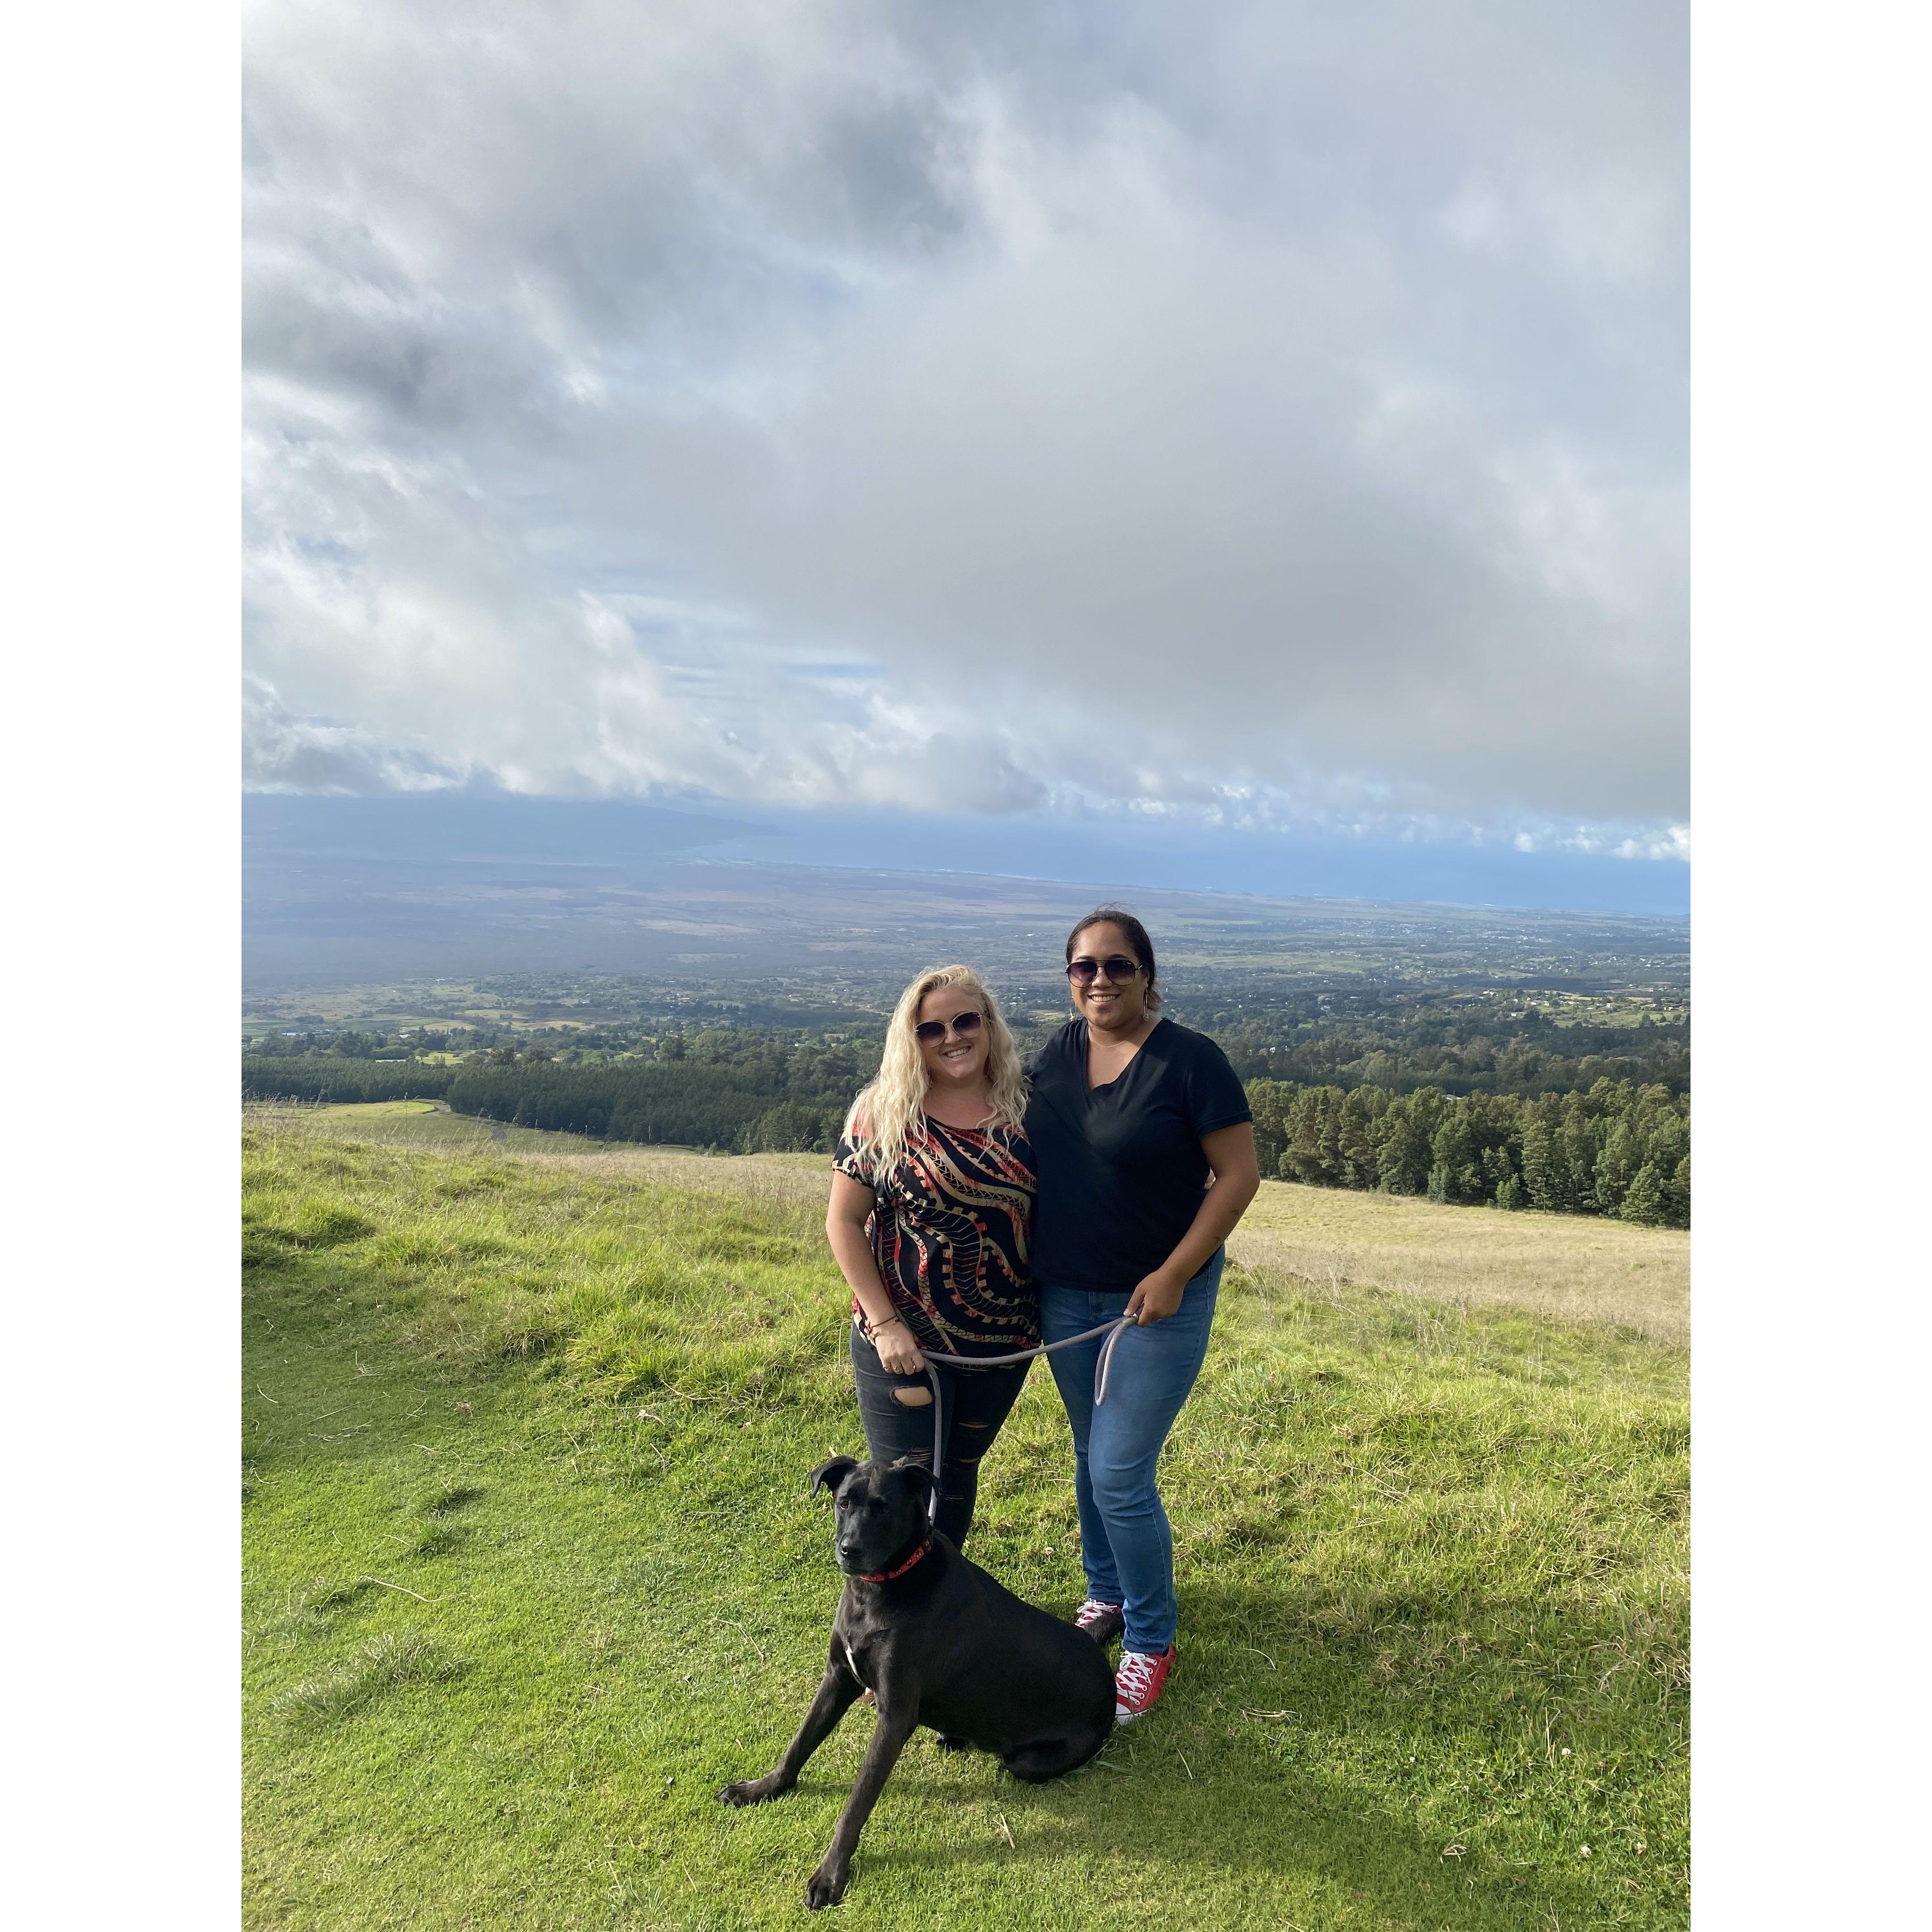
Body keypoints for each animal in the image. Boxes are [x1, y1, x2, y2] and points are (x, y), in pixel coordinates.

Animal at [718, 1453, 1120, 1909]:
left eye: (884, 1508)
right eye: (844, 1501)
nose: (849, 1550)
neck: (878, 1591)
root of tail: (1103, 1670)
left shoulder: (894, 1718)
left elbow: (856, 1804)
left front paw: (830, 1875)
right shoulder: (838, 1679)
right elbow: (799, 1744)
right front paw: (761, 1789)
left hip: (1028, 1762)